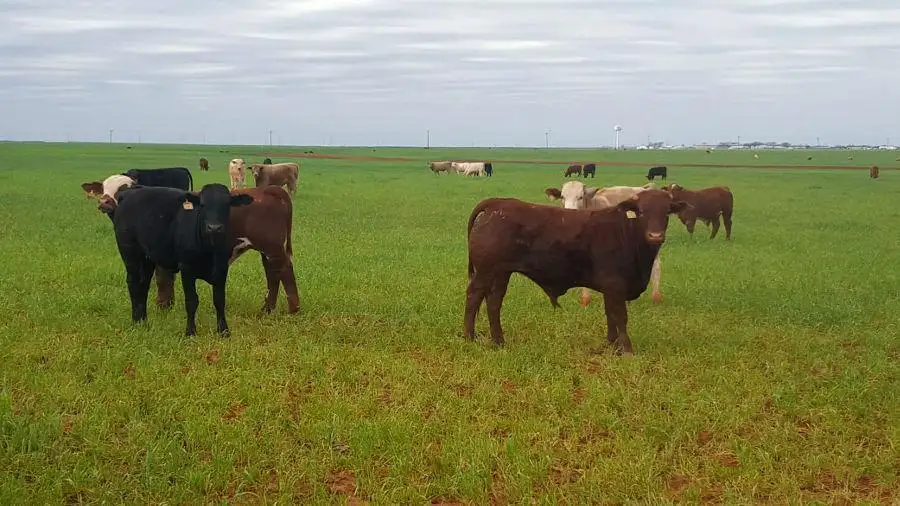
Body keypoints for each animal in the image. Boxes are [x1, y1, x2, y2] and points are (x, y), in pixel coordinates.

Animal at [111, 184, 253, 336]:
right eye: (202, 205)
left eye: (227, 204)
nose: (214, 228)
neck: (210, 251)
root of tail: (129, 192)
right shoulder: (186, 269)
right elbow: (191, 301)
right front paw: (190, 331)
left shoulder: (222, 268)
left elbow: (219, 300)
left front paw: (224, 331)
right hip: (130, 253)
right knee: (134, 284)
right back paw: (136, 321)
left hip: (147, 258)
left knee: (143, 284)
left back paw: (143, 321)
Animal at [463, 189, 687, 354]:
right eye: (641, 212)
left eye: (666, 212)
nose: (655, 235)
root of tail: (497, 204)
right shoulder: (615, 284)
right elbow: (620, 316)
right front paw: (627, 350)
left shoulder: (610, 288)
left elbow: (610, 315)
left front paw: (611, 344)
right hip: (485, 272)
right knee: (474, 296)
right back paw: (469, 337)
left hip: (501, 273)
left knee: (494, 302)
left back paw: (498, 340)